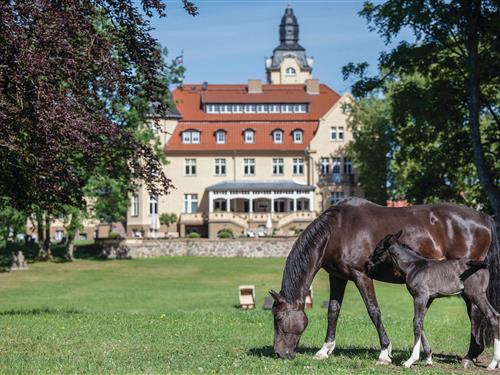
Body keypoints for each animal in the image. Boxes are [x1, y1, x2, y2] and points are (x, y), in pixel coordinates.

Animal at [272, 200, 498, 368]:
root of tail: (483, 218)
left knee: (476, 313)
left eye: (278, 317)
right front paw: (324, 349)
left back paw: (470, 356)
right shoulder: (337, 277)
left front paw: (384, 352)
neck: (337, 230)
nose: (279, 353)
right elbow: (333, 311)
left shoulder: (361, 276)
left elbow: (374, 311)